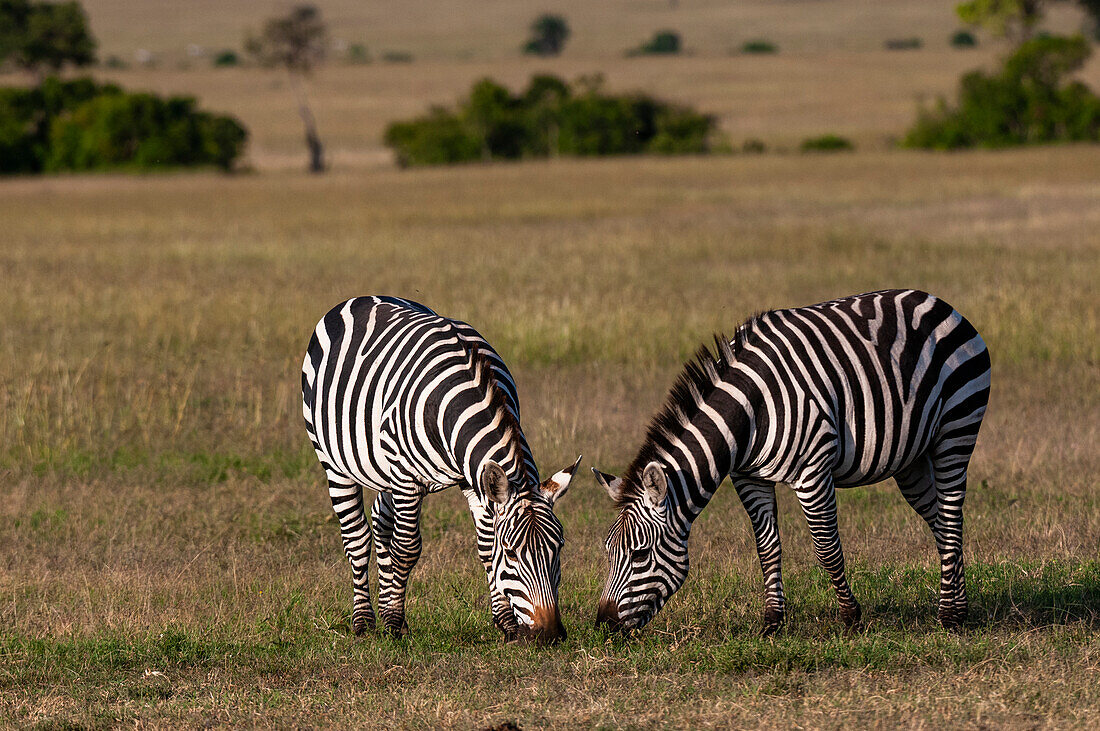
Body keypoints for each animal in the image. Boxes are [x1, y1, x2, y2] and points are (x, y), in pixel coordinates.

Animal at [297, 294, 580, 641]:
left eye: (559, 548)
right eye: (512, 553)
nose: (550, 634)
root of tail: (363, 297)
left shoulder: (475, 480)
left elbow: (485, 548)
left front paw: (506, 623)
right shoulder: (406, 479)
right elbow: (406, 549)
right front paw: (393, 624)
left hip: (385, 469)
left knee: (379, 521)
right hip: (336, 463)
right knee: (357, 539)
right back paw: (364, 621)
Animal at [598, 290, 994, 633]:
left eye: (640, 555)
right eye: (608, 552)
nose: (604, 624)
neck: (749, 412)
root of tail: (936, 300)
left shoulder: (813, 471)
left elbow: (826, 548)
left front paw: (851, 617)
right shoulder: (748, 477)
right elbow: (767, 547)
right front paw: (773, 621)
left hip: (955, 428)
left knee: (952, 513)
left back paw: (950, 616)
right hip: (912, 459)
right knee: (940, 520)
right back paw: (957, 605)